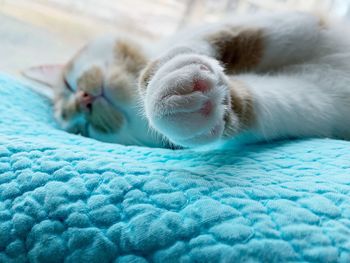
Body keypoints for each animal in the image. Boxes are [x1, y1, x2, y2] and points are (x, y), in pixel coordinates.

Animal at [23, 11, 350, 150]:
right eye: (81, 129)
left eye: (69, 83)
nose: (83, 100)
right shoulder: (319, 100)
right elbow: (257, 104)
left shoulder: (301, 23)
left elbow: (218, 36)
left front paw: (163, 77)